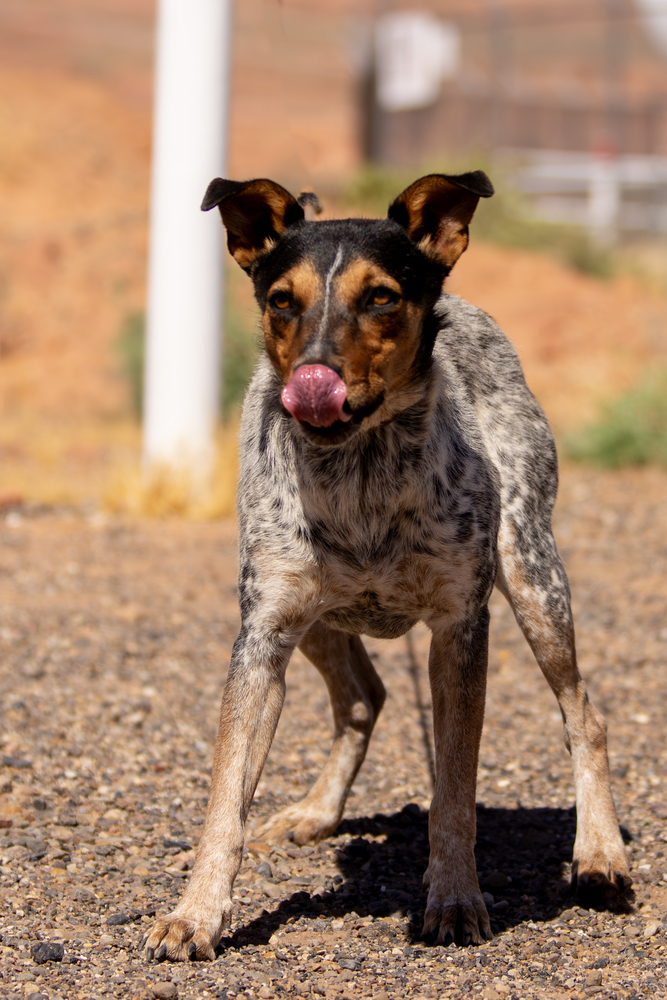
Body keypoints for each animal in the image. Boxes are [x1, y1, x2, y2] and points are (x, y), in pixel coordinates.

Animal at [146, 172, 632, 960]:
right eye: (281, 300)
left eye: (380, 297)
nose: (312, 379)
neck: (360, 474)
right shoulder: (263, 634)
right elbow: (226, 795)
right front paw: (196, 912)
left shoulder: (461, 628)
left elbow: (454, 791)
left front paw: (455, 899)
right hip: (312, 617)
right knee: (361, 698)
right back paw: (313, 810)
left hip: (534, 576)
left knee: (583, 713)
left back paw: (599, 856)